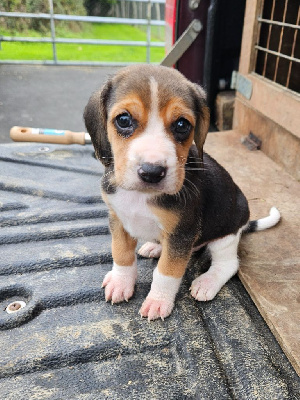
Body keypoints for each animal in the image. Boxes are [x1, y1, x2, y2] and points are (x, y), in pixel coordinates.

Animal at [83, 65, 280, 322]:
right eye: (123, 120)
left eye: (182, 125)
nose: (152, 172)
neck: (141, 196)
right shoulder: (118, 219)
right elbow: (122, 255)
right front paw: (121, 282)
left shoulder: (182, 233)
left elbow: (167, 271)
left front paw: (158, 301)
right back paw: (155, 246)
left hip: (226, 234)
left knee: (229, 264)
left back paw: (207, 282)